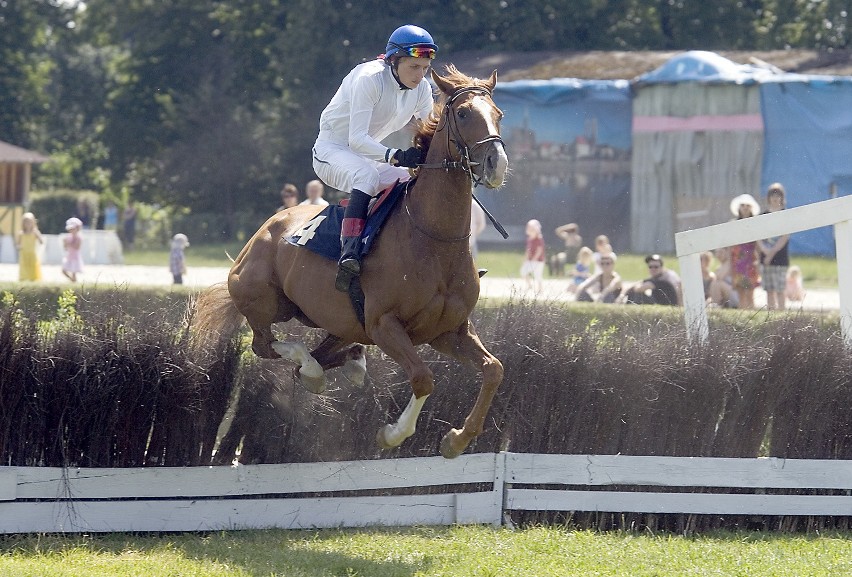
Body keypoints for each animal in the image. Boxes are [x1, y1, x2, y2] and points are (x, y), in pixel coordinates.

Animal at [195, 64, 506, 460]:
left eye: (498, 114)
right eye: (464, 113)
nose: (497, 164)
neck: (433, 237)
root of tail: (259, 235)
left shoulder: (449, 331)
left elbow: (494, 369)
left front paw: (457, 439)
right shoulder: (384, 324)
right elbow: (423, 378)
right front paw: (393, 434)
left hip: (336, 322)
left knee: (319, 354)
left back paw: (341, 365)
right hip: (264, 302)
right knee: (266, 346)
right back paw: (312, 368)